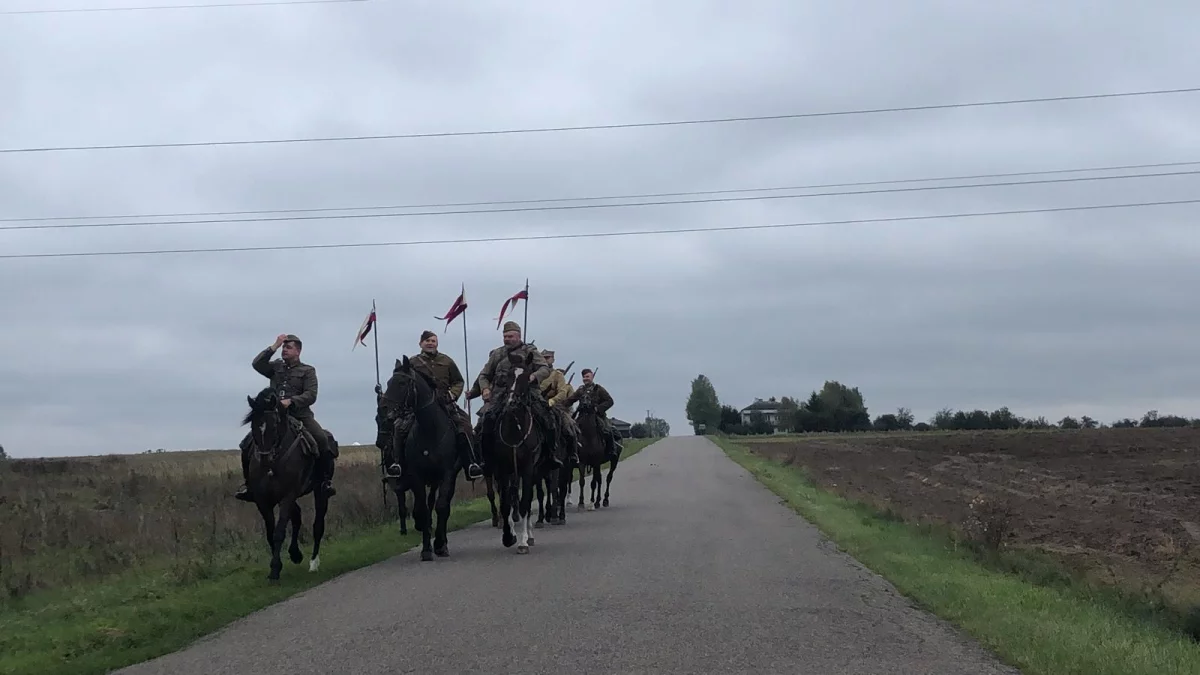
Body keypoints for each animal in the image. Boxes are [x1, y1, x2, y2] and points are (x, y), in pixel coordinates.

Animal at [238, 386, 333, 581]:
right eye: (253, 426)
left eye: (274, 426)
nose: (264, 460)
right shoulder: (263, 500)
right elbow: (270, 532)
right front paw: (279, 563)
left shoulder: (288, 495)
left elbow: (279, 532)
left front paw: (275, 569)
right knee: (297, 517)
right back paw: (295, 553)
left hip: (320, 492)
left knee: (318, 525)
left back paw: (313, 562)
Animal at [381, 355, 460, 559]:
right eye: (388, 382)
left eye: (401, 383)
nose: (384, 409)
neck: (430, 429)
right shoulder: (416, 476)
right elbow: (423, 510)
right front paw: (426, 549)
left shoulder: (447, 474)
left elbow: (442, 507)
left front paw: (440, 544)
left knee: (442, 505)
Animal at [482, 345, 549, 552]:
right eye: (509, 376)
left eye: (527, 376)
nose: (511, 402)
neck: (514, 430)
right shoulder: (502, 470)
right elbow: (506, 504)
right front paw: (508, 536)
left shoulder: (527, 470)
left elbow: (525, 503)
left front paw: (523, 541)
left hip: (534, 472)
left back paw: (530, 535)